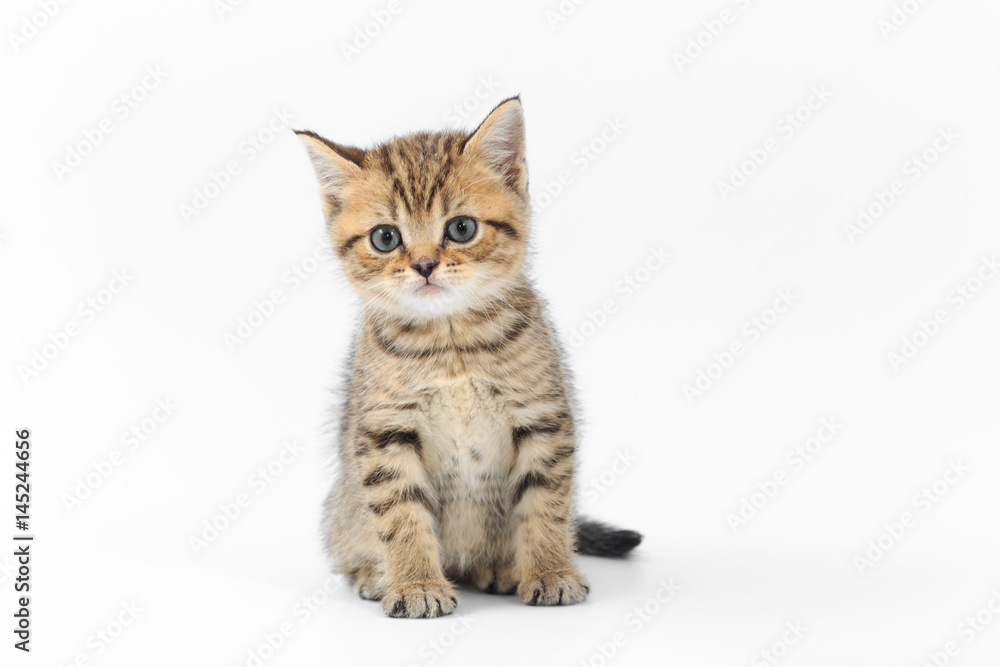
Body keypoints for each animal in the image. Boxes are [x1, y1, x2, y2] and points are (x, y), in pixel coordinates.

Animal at [294, 96, 640, 620]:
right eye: (385, 238)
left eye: (461, 228)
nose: (424, 265)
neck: (451, 345)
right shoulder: (384, 431)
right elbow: (400, 514)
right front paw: (415, 583)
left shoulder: (542, 418)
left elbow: (545, 506)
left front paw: (550, 572)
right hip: (342, 511)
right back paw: (374, 575)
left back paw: (499, 567)